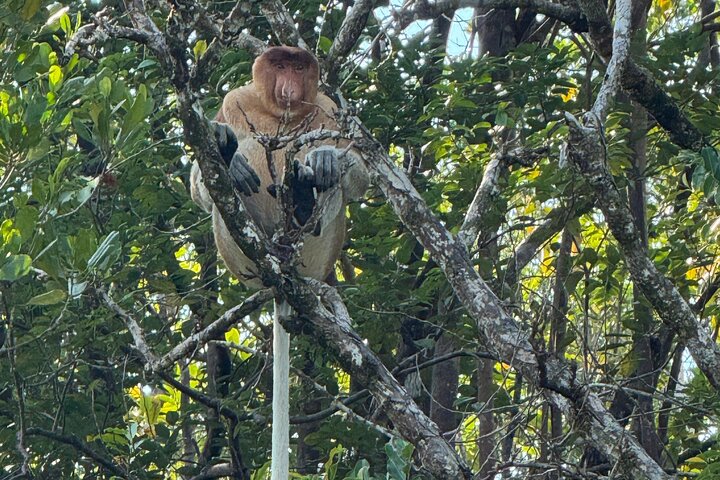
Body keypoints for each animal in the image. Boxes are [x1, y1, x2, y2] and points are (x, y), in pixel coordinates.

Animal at [190, 46, 368, 480]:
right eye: (282, 65)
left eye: (300, 67)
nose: (289, 87)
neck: (278, 116)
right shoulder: (233, 100)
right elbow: (197, 185)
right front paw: (225, 147)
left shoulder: (328, 107)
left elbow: (358, 171)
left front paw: (325, 159)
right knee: (221, 195)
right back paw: (231, 162)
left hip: (319, 252)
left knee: (331, 183)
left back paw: (305, 193)